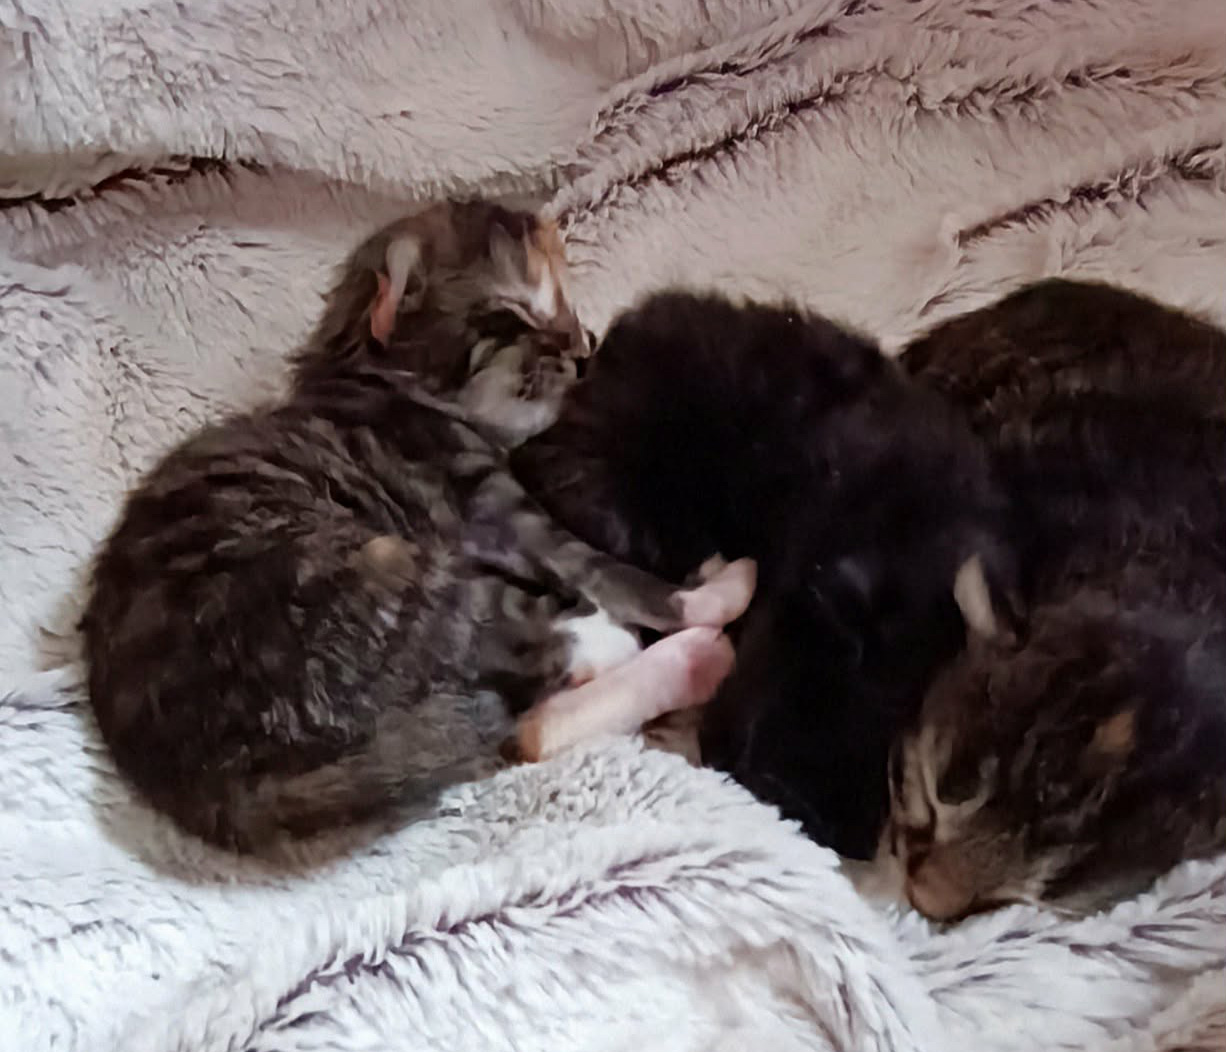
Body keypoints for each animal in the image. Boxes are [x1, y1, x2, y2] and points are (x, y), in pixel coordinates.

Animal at [81, 203, 752, 851]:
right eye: (516, 314)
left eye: (567, 306)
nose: (584, 347)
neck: (375, 384)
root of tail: (213, 785)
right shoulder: (495, 507)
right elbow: (607, 571)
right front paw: (693, 598)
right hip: (381, 576)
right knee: (539, 655)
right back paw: (702, 636)